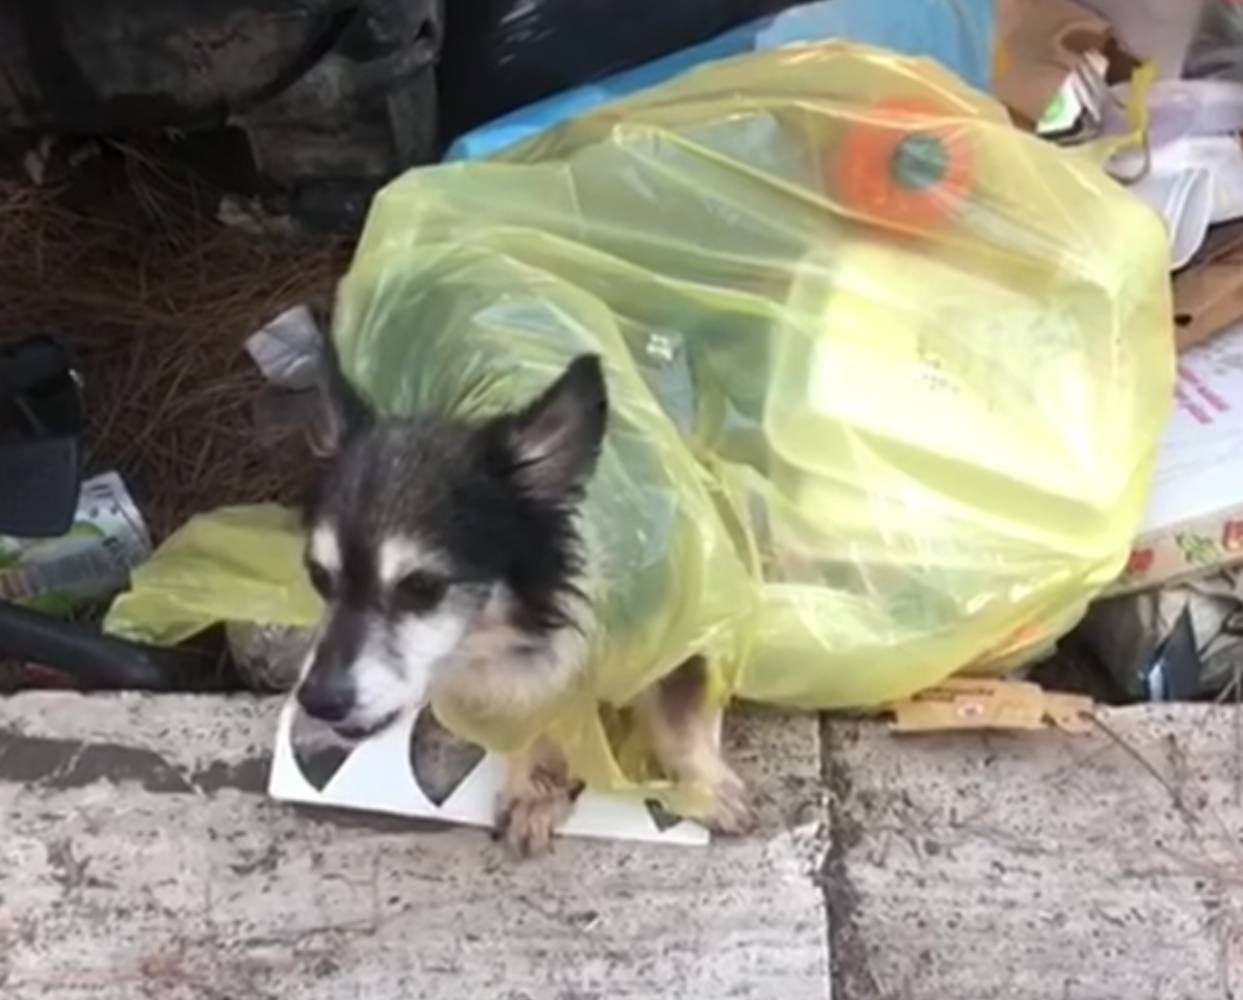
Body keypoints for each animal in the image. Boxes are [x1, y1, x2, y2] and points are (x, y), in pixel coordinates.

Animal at [295, 347, 750, 854]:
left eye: (422, 588)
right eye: (318, 577)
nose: (317, 700)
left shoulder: (677, 635)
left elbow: (679, 718)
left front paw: (704, 789)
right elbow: (529, 727)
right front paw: (534, 791)